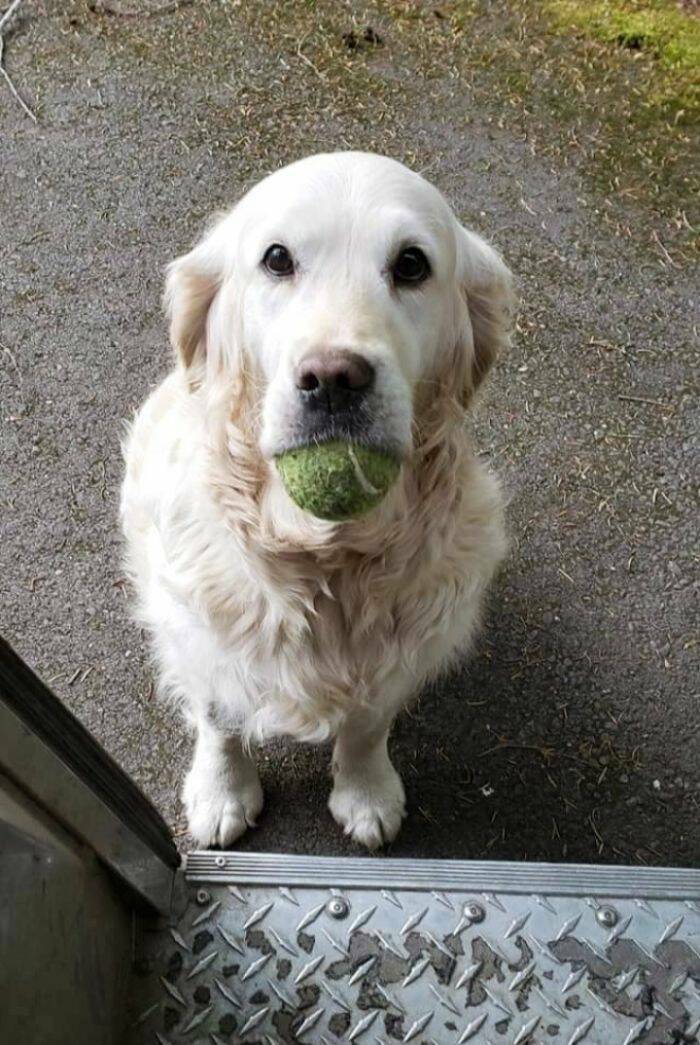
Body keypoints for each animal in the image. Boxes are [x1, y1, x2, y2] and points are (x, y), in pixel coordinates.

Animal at [122, 149, 516, 848]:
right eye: (277, 258)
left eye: (411, 264)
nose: (334, 378)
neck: (325, 559)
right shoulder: (201, 634)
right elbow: (220, 719)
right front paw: (222, 792)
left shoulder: (399, 653)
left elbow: (366, 724)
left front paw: (366, 792)